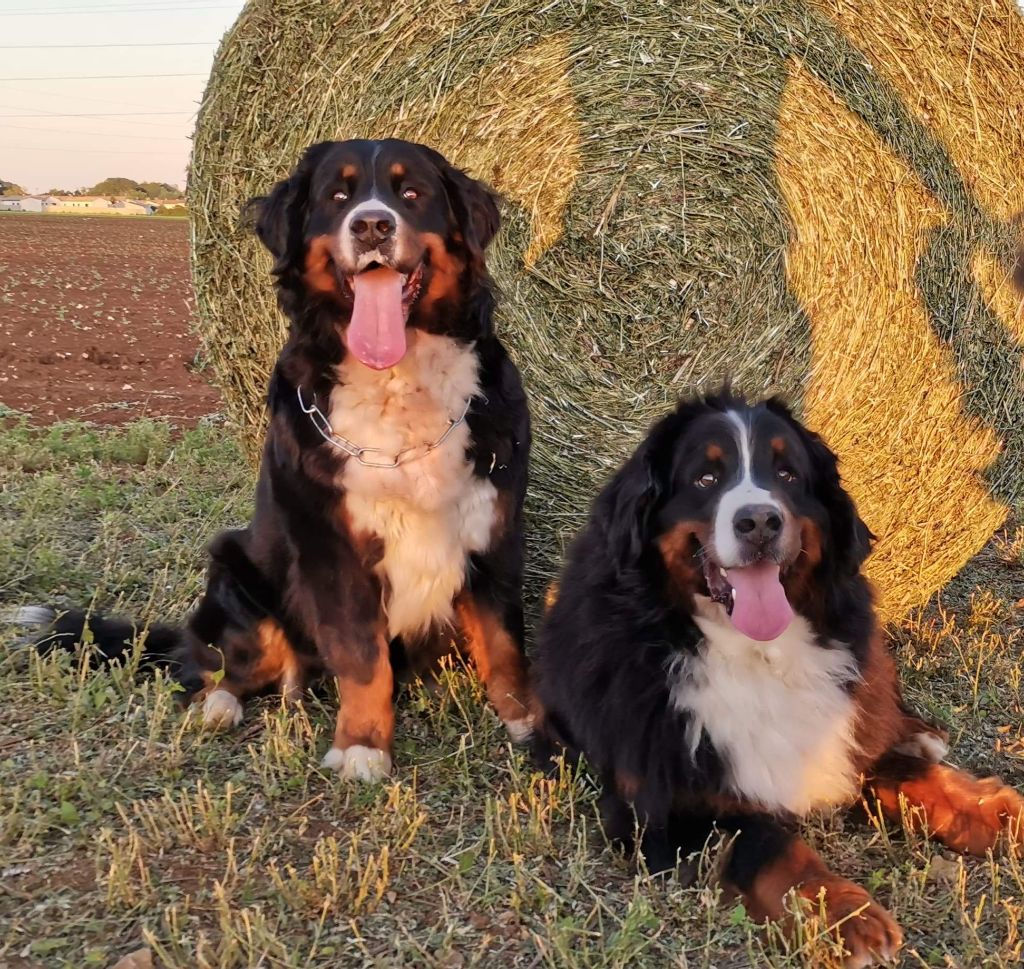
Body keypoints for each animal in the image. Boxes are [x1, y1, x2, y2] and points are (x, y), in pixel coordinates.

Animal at [29, 139, 536, 778]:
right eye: (338, 195)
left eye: (411, 192)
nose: (372, 225)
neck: (398, 383)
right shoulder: (334, 549)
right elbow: (364, 657)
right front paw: (363, 747)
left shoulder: (492, 532)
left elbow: (505, 643)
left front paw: (532, 725)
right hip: (239, 573)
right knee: (215, 667)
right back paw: (218, 707)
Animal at [532, 389, 1024, 962]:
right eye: (705, 478)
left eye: (787, 474)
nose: (760, 521)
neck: (755, 652)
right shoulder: (665, 806)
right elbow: (770, 845)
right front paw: (844, 917)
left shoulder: (841, 728)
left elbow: (911, 773)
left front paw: (1000, 811)